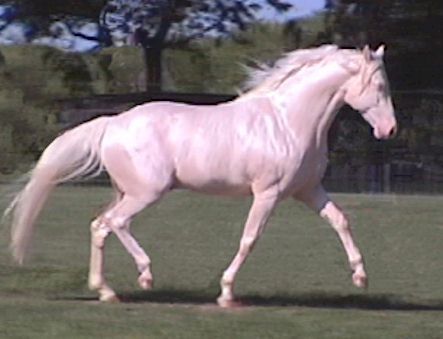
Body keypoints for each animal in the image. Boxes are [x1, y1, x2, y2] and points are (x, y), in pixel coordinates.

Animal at [4, 45, 398, 308]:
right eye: (380, 88)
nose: (390, 130)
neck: (289, 121)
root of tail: (112, 123)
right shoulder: (268, 193)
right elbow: (249, 239)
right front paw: (226, 294)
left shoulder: (309, 190)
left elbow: (340, 221)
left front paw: (360, 277)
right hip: (146, 193)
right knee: (115, 224)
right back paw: (144, 276)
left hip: (125, 192)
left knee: (99, 226)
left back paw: (106, 291)